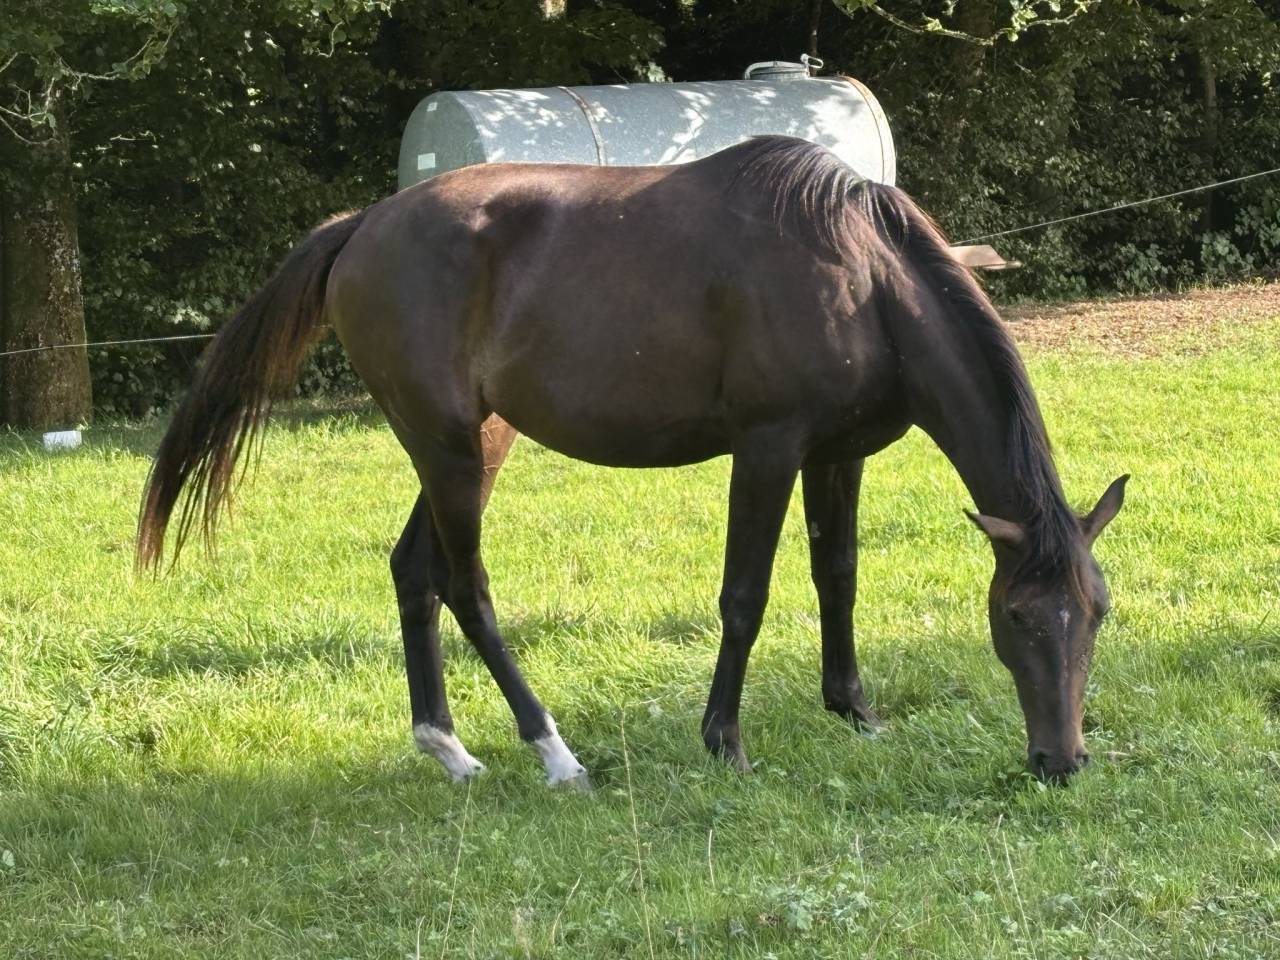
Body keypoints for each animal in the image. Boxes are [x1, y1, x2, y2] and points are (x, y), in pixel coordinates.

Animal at [137, 136, 1126, 788]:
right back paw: (554, 752)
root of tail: (362, 225)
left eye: (1097, 612)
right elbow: (745, 597)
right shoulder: (768, 448)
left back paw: (448, 748)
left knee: (414, 571)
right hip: (447, 447)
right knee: (467, 588)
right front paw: (724, 741)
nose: (1060, 760)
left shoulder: (837, 456)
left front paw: (854, 712)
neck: (864, 275)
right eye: (1018, 618)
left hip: (471, 445)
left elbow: (837, 577)